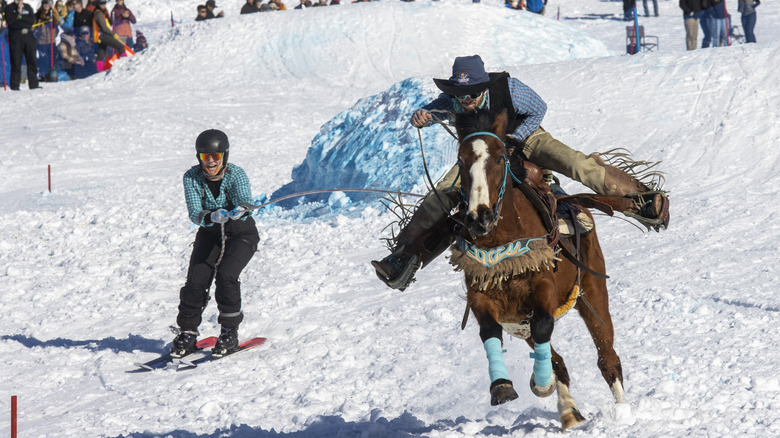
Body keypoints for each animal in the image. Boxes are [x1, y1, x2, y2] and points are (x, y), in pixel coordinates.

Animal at [448, 108, 624, 430]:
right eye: (461, 160)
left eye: (499, 158)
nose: (479, 216)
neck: (501, 240)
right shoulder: (482, 295)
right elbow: (490, 330)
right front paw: (501, 386)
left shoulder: (543, 288)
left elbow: (544, 323)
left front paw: (541, 384)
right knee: (559, 360)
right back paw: (569, 412)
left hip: (592, 292)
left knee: (607, 357)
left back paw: (624, 410)